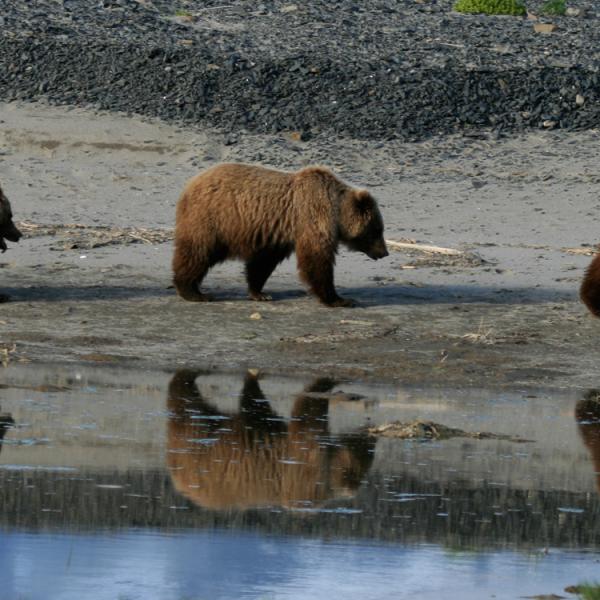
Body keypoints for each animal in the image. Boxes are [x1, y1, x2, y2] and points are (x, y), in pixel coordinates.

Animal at [165, 370, 376, 510]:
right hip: (197, 441)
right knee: (184, 403)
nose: (371, 439)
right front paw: (327, 380)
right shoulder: (305, 466)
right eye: (366, 454)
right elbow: (307, 410)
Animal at [172, 162, 390, 308]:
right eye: (377, 230)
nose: (385, 252)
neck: (336, 212)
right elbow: (317, 260)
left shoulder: (277, 233)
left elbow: (263, 263)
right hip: (212, 219)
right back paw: (193, 291)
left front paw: (259, 293)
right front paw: (339, 299)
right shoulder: (312, 217)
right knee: (197, 252)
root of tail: (189, 185)